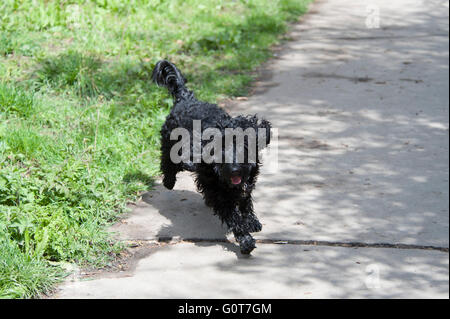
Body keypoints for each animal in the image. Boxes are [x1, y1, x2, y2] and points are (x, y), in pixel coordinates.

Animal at [151, 60, 270, 255]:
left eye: (243, 145)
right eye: (220, 148)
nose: (234, 170)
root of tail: (186, 98)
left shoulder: (246, 184)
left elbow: (245, 203)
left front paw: (251, 221)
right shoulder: (219, 195)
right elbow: (234, 218)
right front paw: (245, 241)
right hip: (170, 145)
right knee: (167, 162)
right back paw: (169, 181)